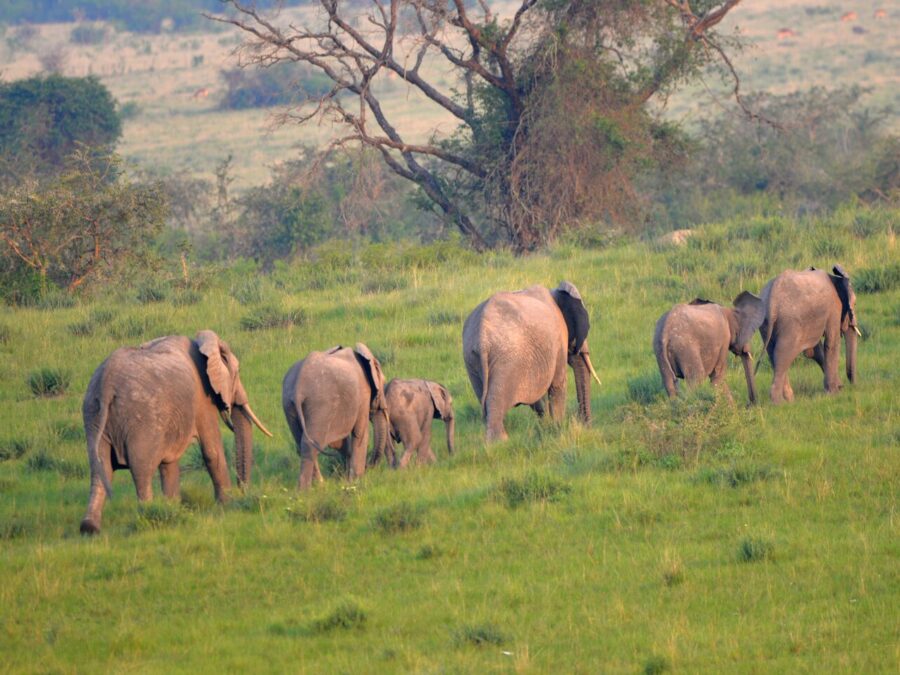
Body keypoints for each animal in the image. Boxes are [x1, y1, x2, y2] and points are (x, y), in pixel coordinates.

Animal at [80, 330, 273, 534]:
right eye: (239, 371)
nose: (244, 492)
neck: (204, 344)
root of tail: (107, 384)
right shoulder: (202, 398)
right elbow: (212, 451)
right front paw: (227, 505)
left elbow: (169, 463)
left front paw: (173, 509)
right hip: (141, 419)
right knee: (141, 470)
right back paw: (148, 519)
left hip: (93, 414)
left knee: (100, 469)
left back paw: (89, 528)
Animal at [282, 343, 390, 489]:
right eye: (383, 384)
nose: (369, 467)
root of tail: (299, 387)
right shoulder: (363, 393)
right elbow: (360, 433)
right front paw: (356, 480)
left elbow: (338, 442)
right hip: (320, 404)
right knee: (311, 444)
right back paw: (308, 488)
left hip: (289, 405)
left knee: (301, 442)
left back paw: (319, 484)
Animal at [462, 281, 601, 442]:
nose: (585, 425)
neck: (555, 292)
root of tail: (482, 339)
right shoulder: (558, 339)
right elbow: (558, 384)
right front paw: (558, 428)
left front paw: (547, 427)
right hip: (506, 359)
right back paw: (500, 441)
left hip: (472, 361)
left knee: (484, 401)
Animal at [758, 265, 860, 403]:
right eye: (854, 304)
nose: (851, 386)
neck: (836, 278)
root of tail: (772, 299)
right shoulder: (834, 309)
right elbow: (831, 344)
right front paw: (834, 393)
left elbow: (815, 351)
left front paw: (836, 388)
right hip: (790, 322)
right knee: (782, 354)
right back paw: (779, 402)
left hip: (765, 323)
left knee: (772, 353)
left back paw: (789, 399)